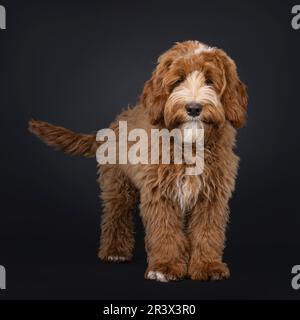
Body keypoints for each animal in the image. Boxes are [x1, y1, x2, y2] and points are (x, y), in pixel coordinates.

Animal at [28, 40, 248, 282]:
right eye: (179, 79)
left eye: (209, 80)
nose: (193, 108)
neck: (188, 145)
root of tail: (114, 124)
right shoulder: (160, 192)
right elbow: (165, 230)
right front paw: (165, 267)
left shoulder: (212, 195)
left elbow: (207, 232)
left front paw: (208, 266)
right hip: (118, 184)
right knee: (116, 214)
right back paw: (114, 251)